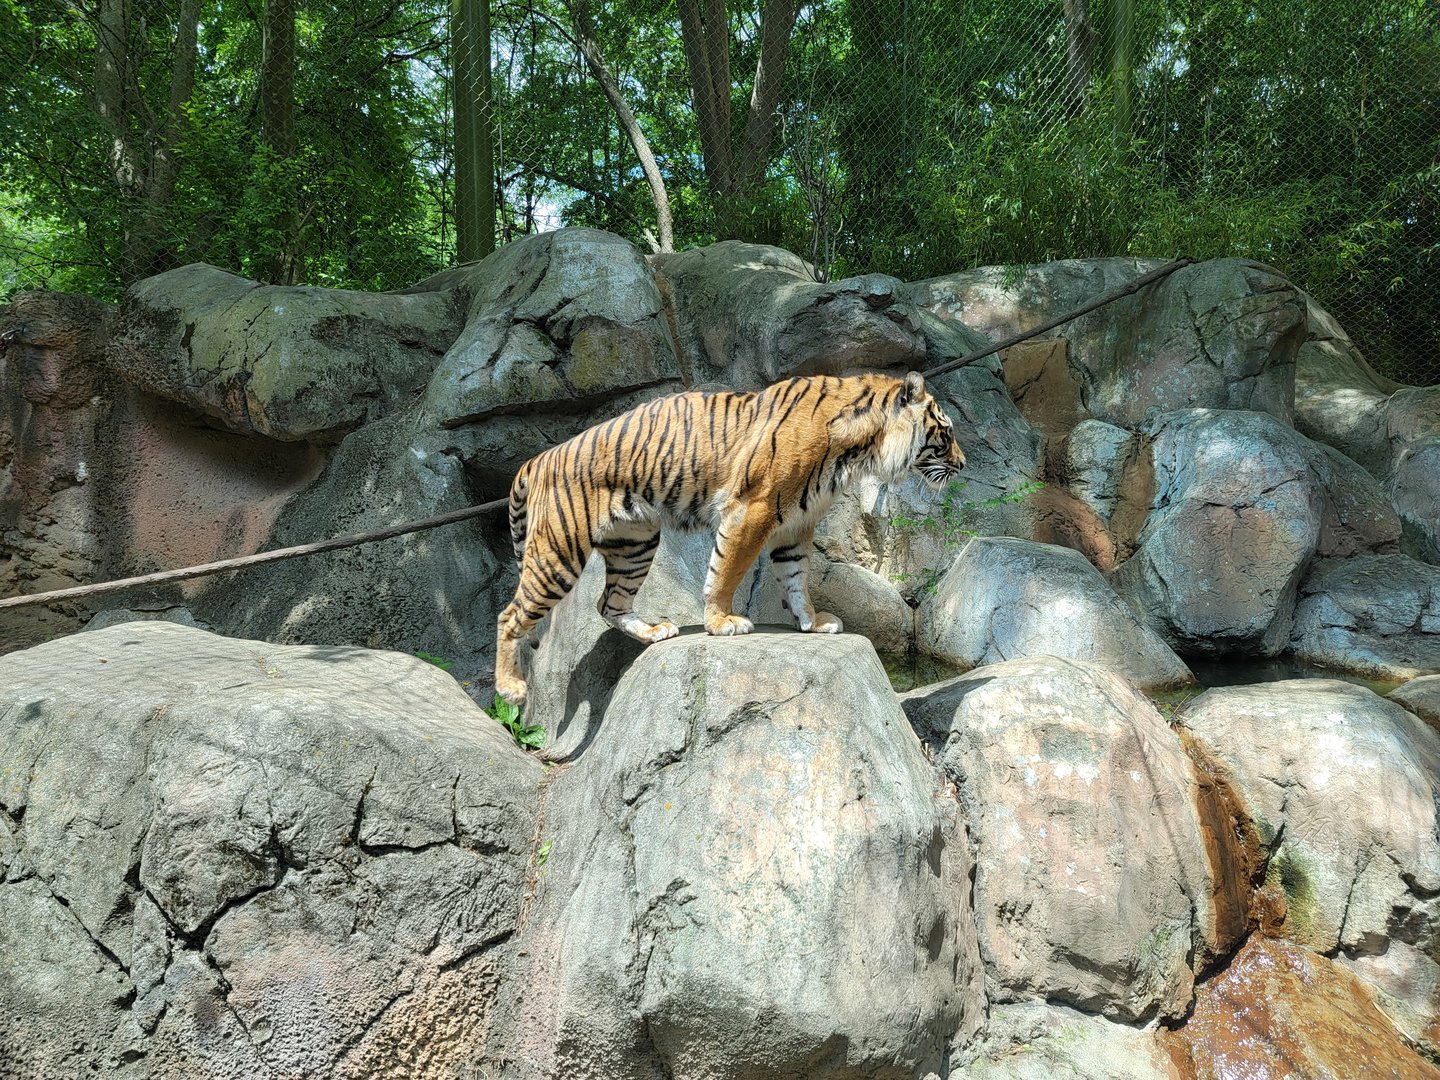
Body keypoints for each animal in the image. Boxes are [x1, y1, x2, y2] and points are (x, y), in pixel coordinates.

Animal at [493, 370, 965, 708]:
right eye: (945, 433)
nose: (962, 464)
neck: (861, 448)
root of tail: (541, 457)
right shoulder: (751, 509)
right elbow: (727, 569)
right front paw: (722, 622)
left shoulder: (795, 524)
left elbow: (797, 578)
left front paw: (812, 622)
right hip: (561, 552)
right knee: (510, 615)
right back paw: (510, 687)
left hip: (636, 542)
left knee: (609, 603)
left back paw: (653, 632)